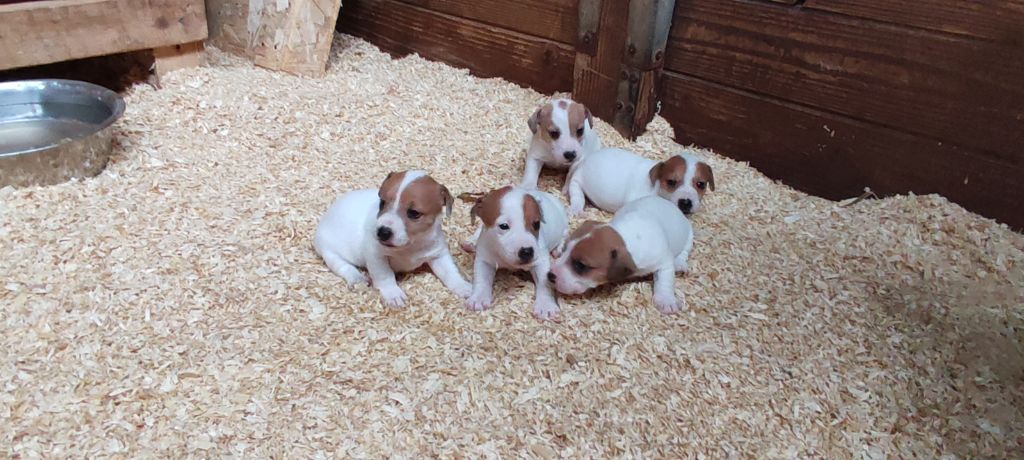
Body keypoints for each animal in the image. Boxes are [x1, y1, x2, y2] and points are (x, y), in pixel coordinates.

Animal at [311, 170, 471, 307]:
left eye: (414, 213)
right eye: (382, 202)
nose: (382, 232)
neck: (410, 245)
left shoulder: (438, 254)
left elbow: (450, 273)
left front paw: (463, 287)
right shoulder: (376, 256)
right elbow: (384, 276)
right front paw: (393, 294)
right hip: (330, 253)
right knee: (343, 266)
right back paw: (357, 278)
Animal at [468, 185, 573, 319]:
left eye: (536, 224)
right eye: (503, 226)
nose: (527, 251)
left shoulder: (541, 261)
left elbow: (544, 283)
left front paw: (545, 305)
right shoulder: (484, 259)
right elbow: (481, 278)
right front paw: (479, 298)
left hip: (564, 224)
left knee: (564, 235)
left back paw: (558, 249)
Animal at [544, 195, 696, 313]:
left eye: (581, 265)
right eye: (566, 250)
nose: (550, 275)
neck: (626, 236)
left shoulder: (663, 261)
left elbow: (664, 280)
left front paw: (666, 300)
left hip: (689, 234)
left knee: (684, 251)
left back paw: (680, 264)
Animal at [565, 148, 716, 217]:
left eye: (701, 184)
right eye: (671, 182)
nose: (685, 202)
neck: (656, 187)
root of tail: (586, 158)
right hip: (577, 182)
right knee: (577, 194)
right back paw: (576, 207)